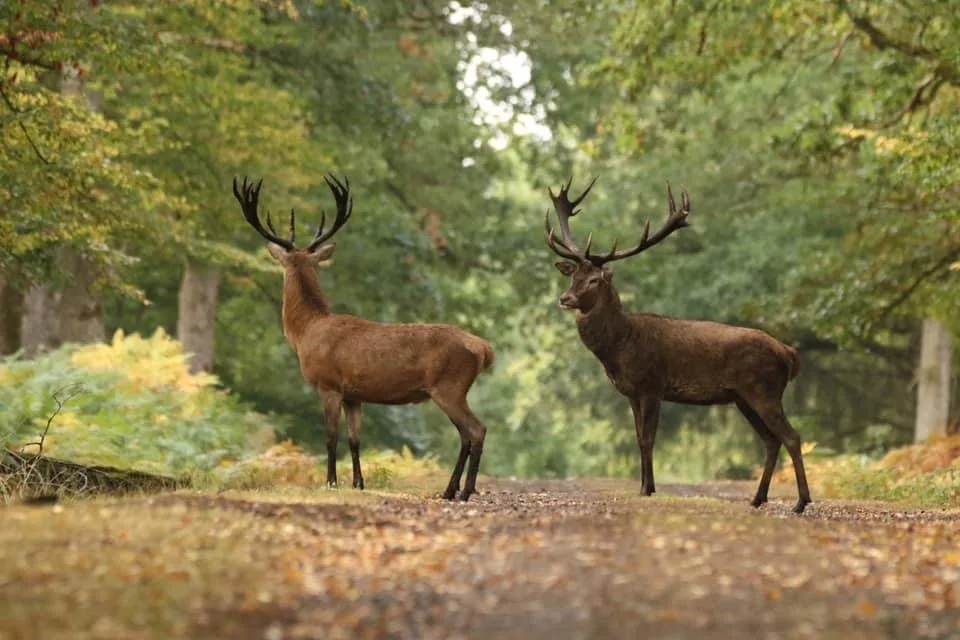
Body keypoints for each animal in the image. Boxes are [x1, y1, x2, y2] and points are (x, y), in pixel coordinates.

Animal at [232, 174, 496, 500]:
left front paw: (331, 482)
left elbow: (331, 436)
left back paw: (463, 490)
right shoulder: (354, 395)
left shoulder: (328, 384)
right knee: (466, 434)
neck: (305, 331)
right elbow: (355, 438)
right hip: (452, 389)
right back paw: (451, 490)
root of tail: (484, 349)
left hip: (449, 385)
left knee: (476, 430)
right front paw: (358, 483)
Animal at [548, 176, 808, 516]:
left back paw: (800, 502)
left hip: (764, 389)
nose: (565, 299)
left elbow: (648, 438)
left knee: (791, 436)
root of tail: (789, 354)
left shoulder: (652, 384)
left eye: (594, 280)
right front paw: (644, 486)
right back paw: (757, 498)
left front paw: (648, 489)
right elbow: (638, 437)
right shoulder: (630, 392)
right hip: (744, 397)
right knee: (771, 440)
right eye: (572, 276)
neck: (620, 346)